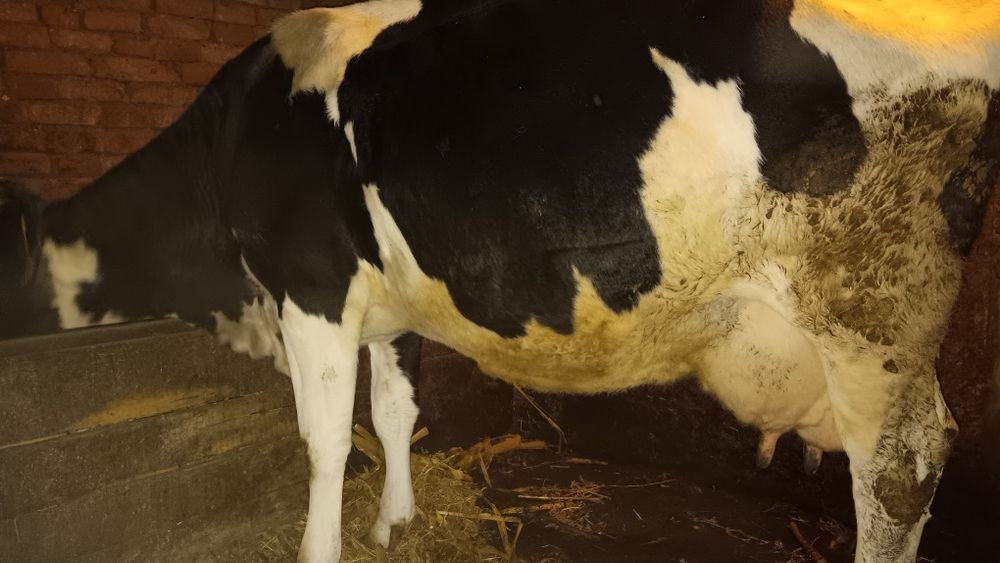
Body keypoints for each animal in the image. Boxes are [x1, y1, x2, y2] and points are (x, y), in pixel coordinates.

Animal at [1, 0, 998, 561]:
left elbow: (323, 443)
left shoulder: (312, 286)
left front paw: (324, 545)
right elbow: (393, 413)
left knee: (900, 470)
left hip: (871, 311)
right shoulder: (389, 302)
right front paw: (395, 523)